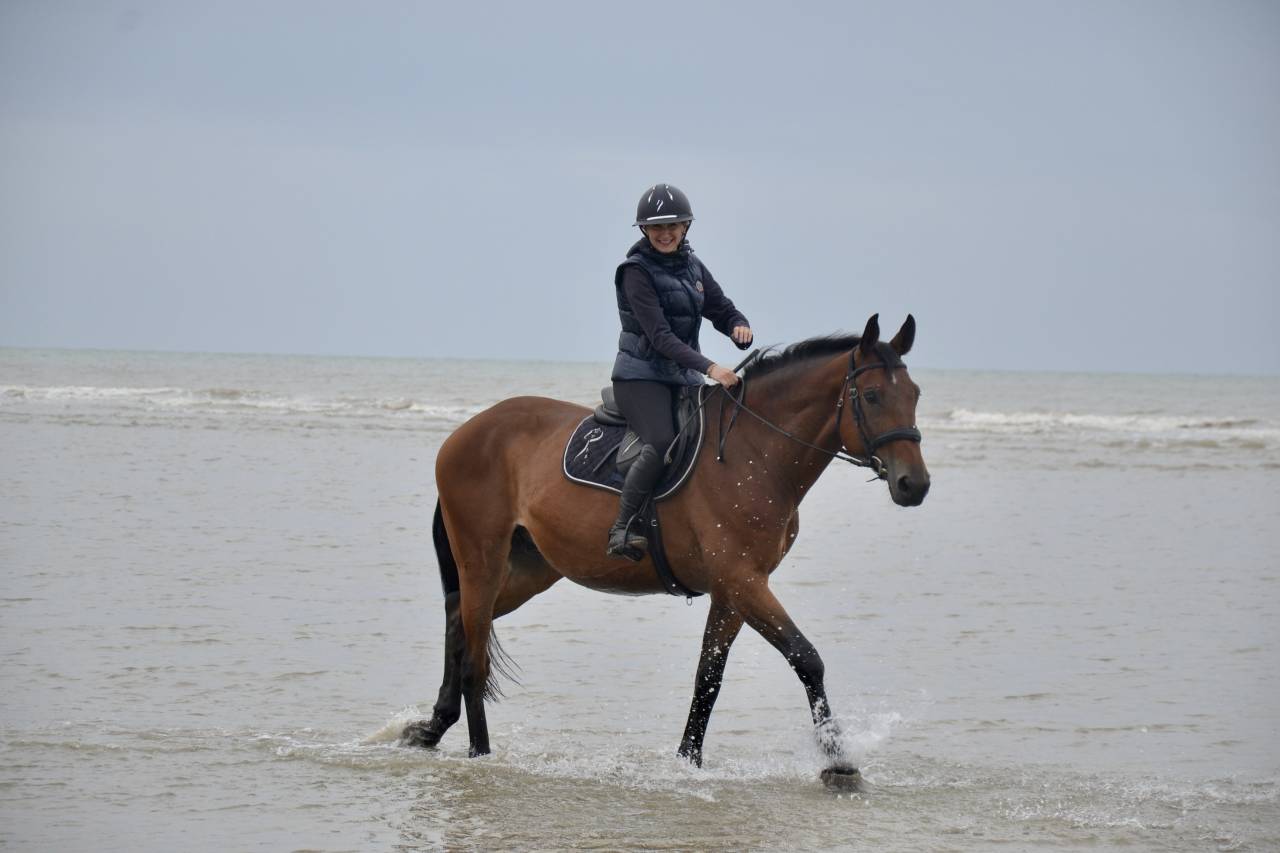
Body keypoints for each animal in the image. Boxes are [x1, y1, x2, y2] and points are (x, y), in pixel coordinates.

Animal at [401, 314, 930, 786]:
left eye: (915, 395)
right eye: (872, 396)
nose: (915, 484)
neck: (753, 453)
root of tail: (465, 432)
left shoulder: (733, 591)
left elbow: (708, 678)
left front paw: (687, 761)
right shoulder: (744, 581)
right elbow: (806, 658)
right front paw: (838, 761)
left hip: (528, 570)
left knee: (459, 622)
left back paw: (432, 727)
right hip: (483, 560)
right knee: (474, 657)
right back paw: (479, 753)